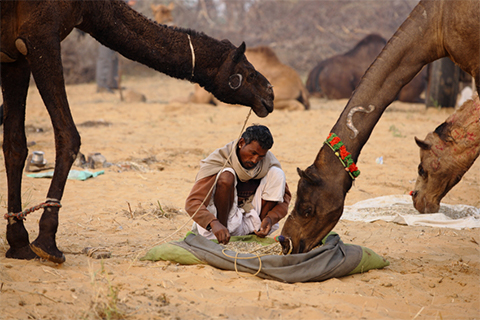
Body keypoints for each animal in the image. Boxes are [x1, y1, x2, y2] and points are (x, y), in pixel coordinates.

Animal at [0, 0, 274, 262]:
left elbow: (15, 146)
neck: (88, 7)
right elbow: (68, 135)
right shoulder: (40, 36)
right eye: (249, 73)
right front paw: (47, 243)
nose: (270, 94)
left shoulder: (15, 57)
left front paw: (19, 243)